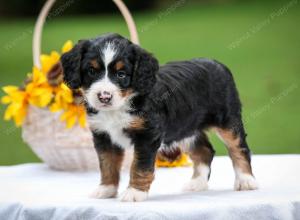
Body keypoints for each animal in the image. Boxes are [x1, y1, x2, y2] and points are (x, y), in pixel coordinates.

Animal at [61, 31, 258, 202]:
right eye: (92, 71)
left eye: (121, 74)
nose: (104, 96)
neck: (120, 106)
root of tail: (216, 63)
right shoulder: (104, 136)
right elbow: (107, 164)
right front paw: (106, 189)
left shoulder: (146, 135)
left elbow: (139, 165)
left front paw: (134, 193)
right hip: (185, 129)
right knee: (205, 151)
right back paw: (197, 183)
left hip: (227, 121)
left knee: (239, 149)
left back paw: (246, 181)